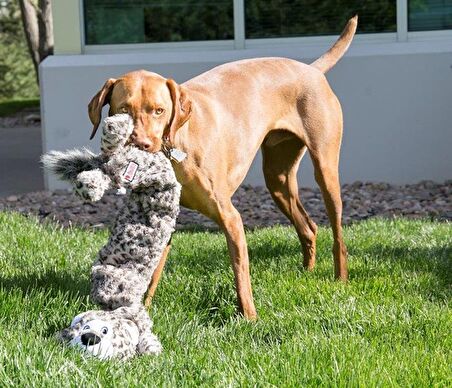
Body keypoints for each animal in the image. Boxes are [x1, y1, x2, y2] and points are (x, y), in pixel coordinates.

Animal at [87, 15, 356, 318]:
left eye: (159, 110)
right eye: (123, 109)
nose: (142, 144)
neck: (177, 146)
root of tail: (311, 69)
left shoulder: (231, 217)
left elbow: (241, 274)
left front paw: (249, 318)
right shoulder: (161, 220)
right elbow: (152, 272)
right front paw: (140, 309)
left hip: (325, 170)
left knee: (337, 235)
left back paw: (340, 279)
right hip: (277, 179)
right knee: (308, 227)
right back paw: (307, 272)